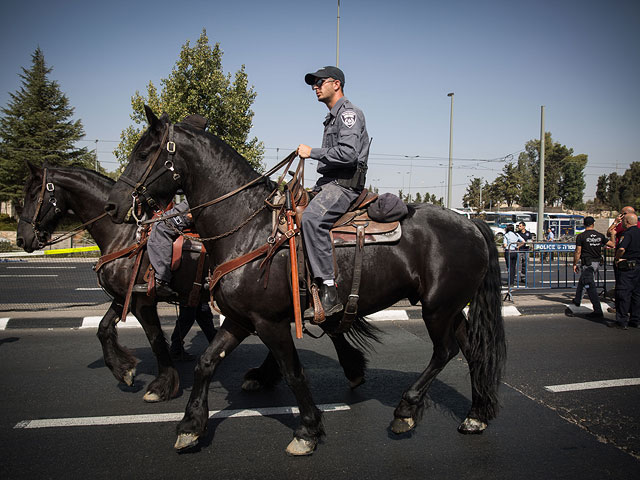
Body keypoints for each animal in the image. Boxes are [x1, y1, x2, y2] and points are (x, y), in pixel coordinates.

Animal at [15, 164, 212, 402]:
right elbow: (103, 328)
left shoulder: (141, 302)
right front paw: (123, 370)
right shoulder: (122, 297)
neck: (124, 236)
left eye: (34, 195)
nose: (21, 239)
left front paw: (161, 386)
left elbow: (155, 340)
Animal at [105, 107, 504, 456]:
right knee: (472, 351)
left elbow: (294, 372)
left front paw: (307, 430)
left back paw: (406, 410)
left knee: (444, 351)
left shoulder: (270, 322)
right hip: (451, 308)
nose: (113, 205)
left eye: (144, 153)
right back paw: (476, 416)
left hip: (437, 308)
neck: (249, 227)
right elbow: (206, 362)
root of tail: (473, 224)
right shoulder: (240, 319)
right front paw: (190, 427)